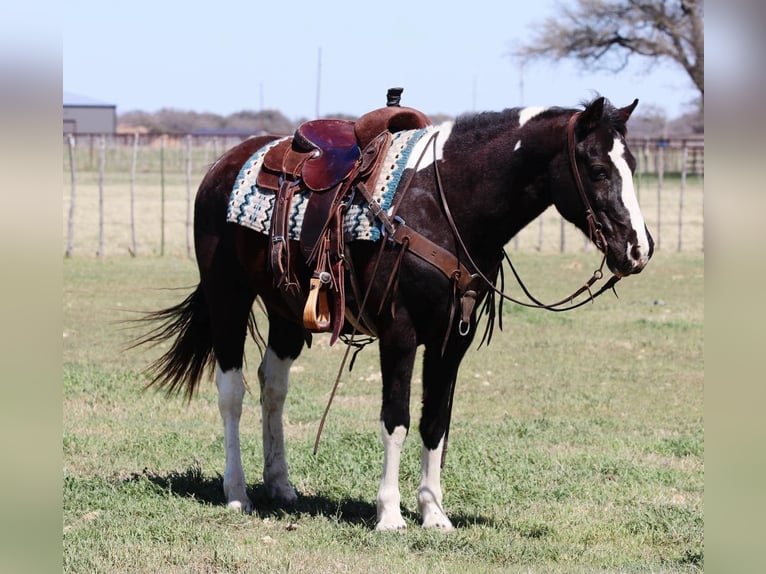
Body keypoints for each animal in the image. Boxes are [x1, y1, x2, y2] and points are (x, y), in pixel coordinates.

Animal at [136, 97, 656, 532]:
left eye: (632, 165)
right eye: (597, 169)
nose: (639, 249)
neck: (445, 206)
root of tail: (222, 165)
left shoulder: (452, 340)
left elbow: (435, 422)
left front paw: (434, 513)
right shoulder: (399, 334)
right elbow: (396, 419)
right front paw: (389, 514)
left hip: (286, 311)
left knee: (272, 387)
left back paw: (280, 484)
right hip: (228, 297)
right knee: (232, 392)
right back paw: (237, 492)